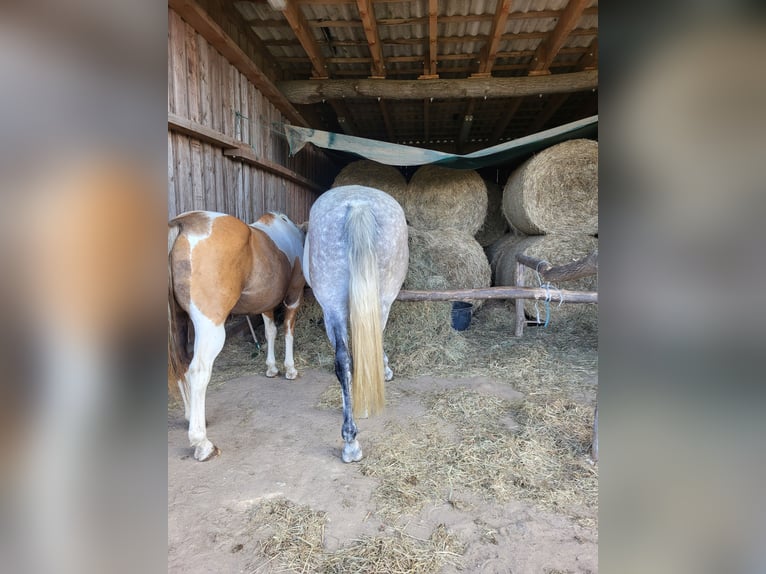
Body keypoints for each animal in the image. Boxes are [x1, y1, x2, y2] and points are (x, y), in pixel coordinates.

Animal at [168, 210, 306, 461]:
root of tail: (185, 224)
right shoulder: (293, 296)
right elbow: (288, 330)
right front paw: (290, 369)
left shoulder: (266, 303)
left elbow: (270, 332)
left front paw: (271, 367)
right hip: (210, 328)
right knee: (198, 371)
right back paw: (202, 443)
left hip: (178, 322)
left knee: (181, 365)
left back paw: (191, 416)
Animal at [303, 185, 408, 462]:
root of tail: (358, 204)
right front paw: (385, 370)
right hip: (379, 300)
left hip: (332, 304)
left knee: (343, 361)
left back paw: (350, 440)